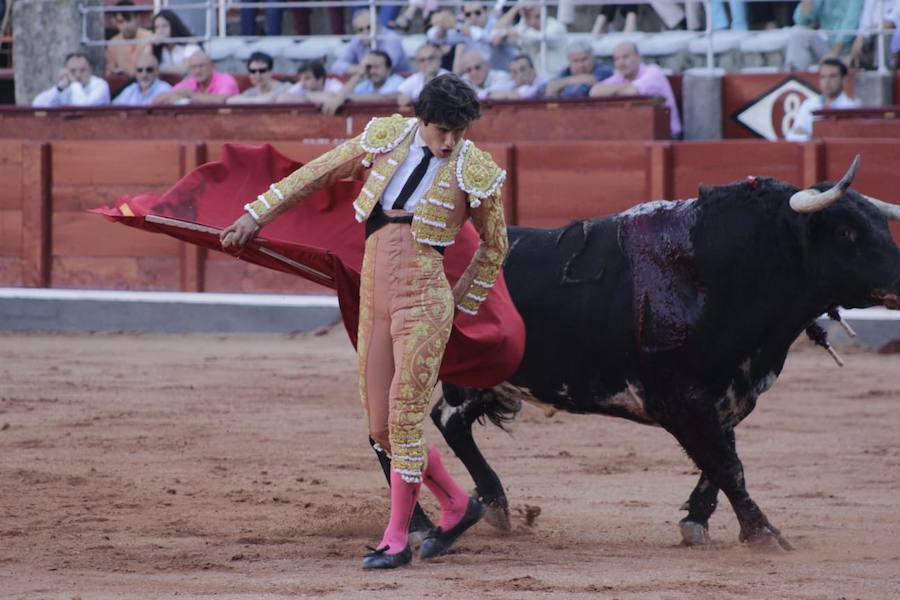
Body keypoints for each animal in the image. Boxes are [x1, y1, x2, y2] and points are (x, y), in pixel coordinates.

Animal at [422, 157, 900, 552]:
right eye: (846, 232)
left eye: (882, 226)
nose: (899, 280)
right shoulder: (681, 400)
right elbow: (727, 464)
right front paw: (764, 535)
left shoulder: (728, 397)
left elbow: (720, 460)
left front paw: (697, 522)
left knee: (448, 420)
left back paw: (494, 504)